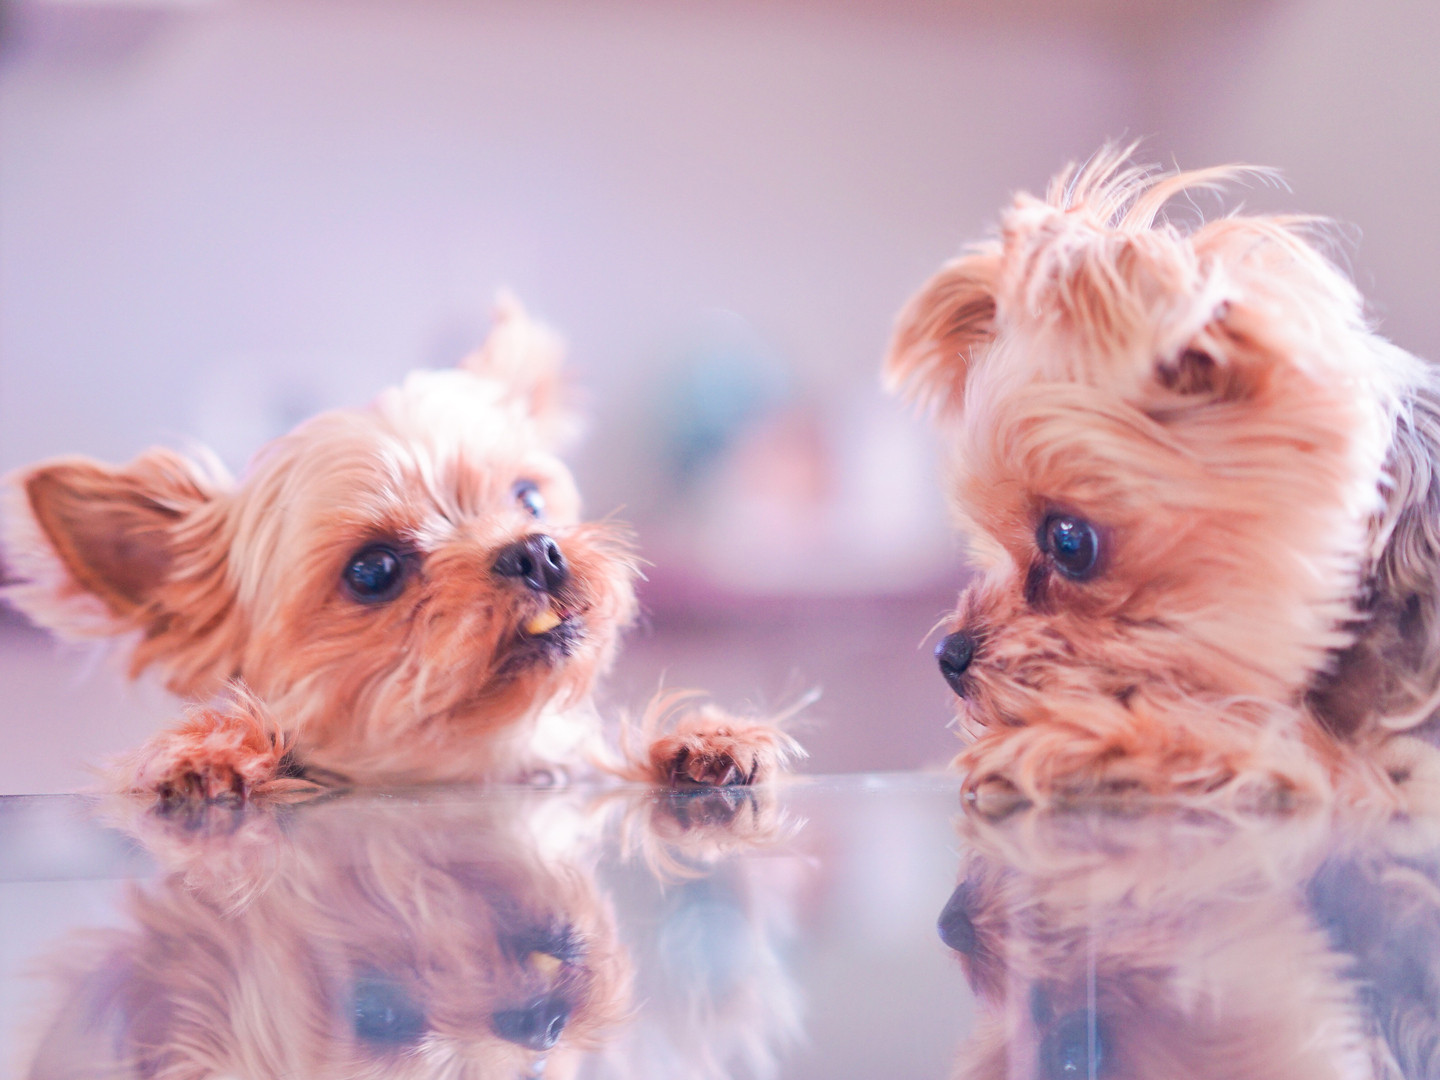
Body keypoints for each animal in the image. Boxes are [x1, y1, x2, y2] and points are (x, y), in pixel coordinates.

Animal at [2, 297, 798, 799]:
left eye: (529, 499)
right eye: (373, 571)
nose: (536, 552)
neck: (488, 763)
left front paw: (710, 741)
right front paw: (213, 754)